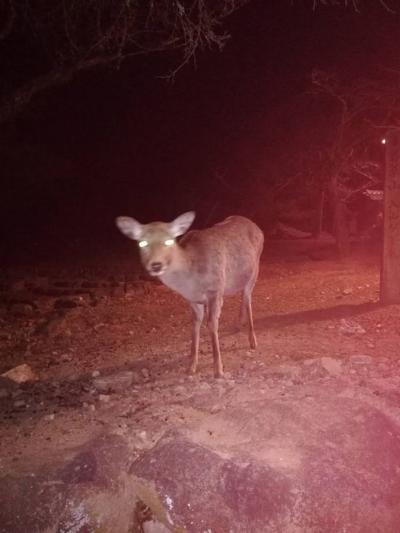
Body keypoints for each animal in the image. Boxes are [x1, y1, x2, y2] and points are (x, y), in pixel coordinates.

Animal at [115, 210, 264, 376]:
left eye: (169, 241)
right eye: (142, 243)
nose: (156, 265)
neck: (191, 282)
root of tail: (257, 227)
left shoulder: (215, 288)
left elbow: (212, 324)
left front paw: (218, 369)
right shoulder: (192, 299)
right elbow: (195, 325)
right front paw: (191, 366)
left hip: (255, 270)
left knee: (247, 298)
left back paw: (252, 340)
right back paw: (238, 326)